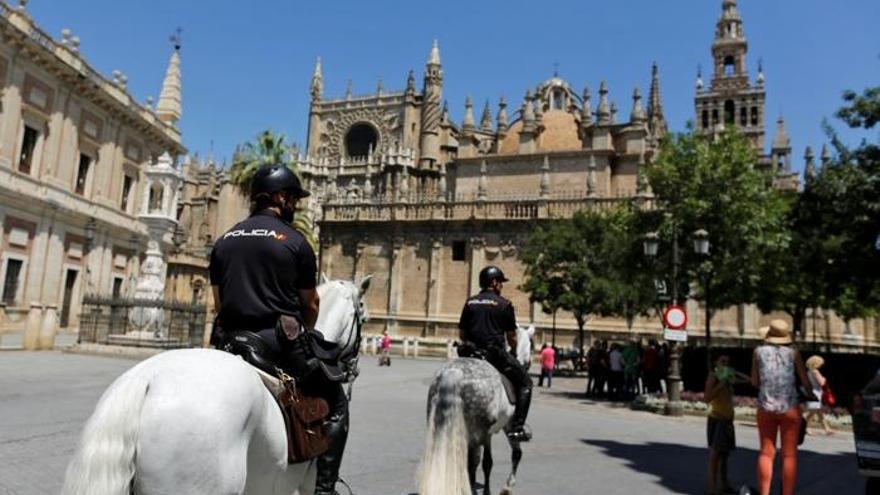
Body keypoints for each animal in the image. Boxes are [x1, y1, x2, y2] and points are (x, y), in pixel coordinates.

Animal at [422, 326, 536, 495]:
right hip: (479, 430)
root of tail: (454, 373)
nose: (528, 363)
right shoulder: (504, 426)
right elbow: (500, 458)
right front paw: (506, 488)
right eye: (531, 344)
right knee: (475, 461)